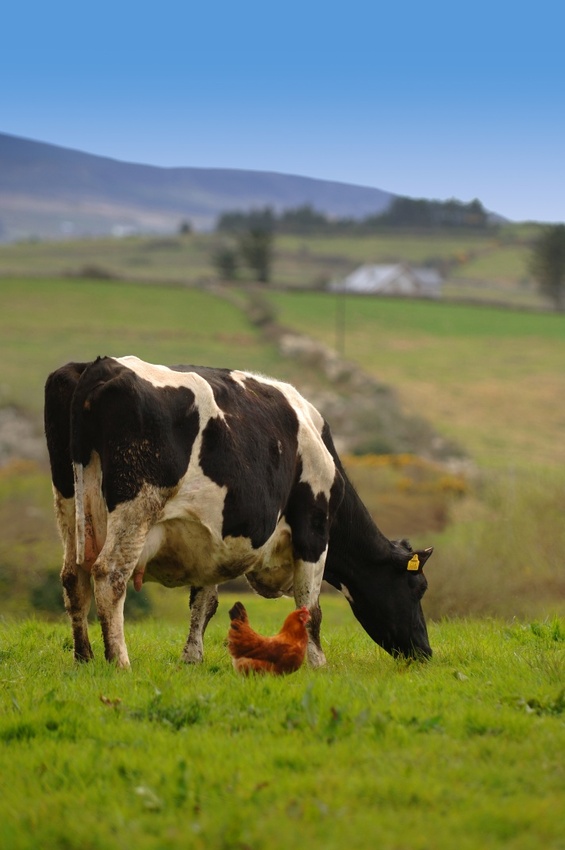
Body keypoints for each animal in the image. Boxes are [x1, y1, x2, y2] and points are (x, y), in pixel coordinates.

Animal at [44, 354, 432, 664]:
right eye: (419, 588)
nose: (425, 652)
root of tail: (99, 365)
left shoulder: (208, 539)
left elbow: (204, 602)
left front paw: (192, 658)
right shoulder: (313, 527)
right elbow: (311, 607)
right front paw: (318, 663)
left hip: (69, 502)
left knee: (73, 577)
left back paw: (84, 657)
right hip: (136, 505)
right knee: (109, 575)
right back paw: (119, 662)